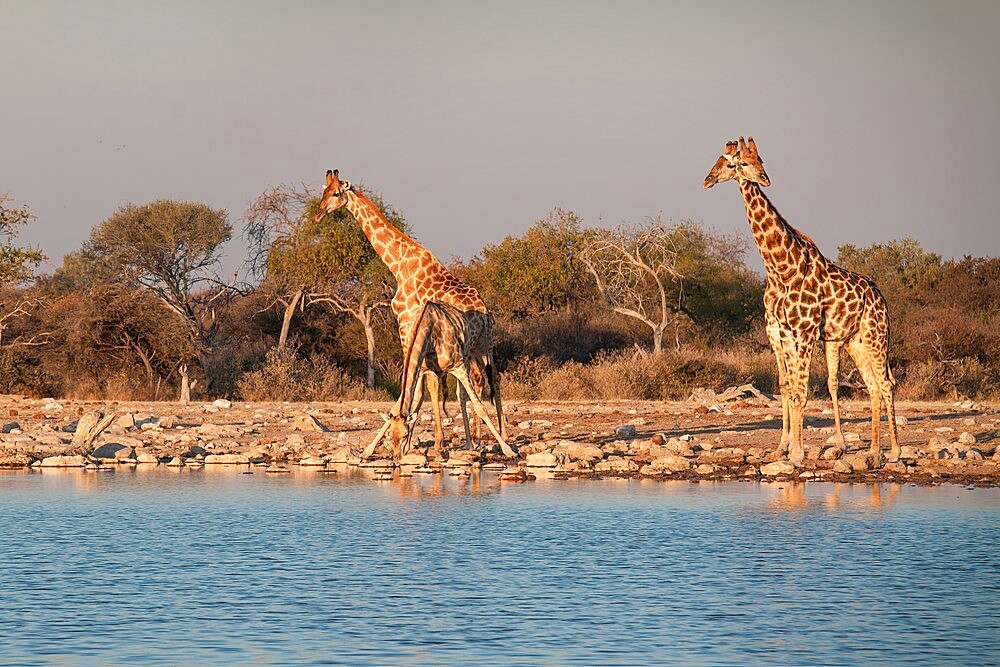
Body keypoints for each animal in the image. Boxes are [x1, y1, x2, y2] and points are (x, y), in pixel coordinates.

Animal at [362, 302, 516, 462]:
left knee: (492, 377)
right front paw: (368, 451)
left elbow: (480, 407)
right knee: (461, 395)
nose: (397, 456)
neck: (428, 331)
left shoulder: (458, 366)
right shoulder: (423, 369)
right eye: (391, 434)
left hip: (482, 349)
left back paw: (487, 441)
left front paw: (508, 450)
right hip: (466, 359)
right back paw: (470, 444)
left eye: (405, 434)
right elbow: (410, 402)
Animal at [704, 138, 900, 468]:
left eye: (752, 161)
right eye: (731, 162)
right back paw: (873, 451)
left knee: (886, 384)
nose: (707, 179)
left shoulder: (805, 331)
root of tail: (881, 297)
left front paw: (795, 453)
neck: (783, 268)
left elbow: (800, 391)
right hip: (855, 341)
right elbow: (789, 388)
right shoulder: (782, 332)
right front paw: (786, 450)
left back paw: (894, 451)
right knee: (873, 386)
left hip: (876, 335)